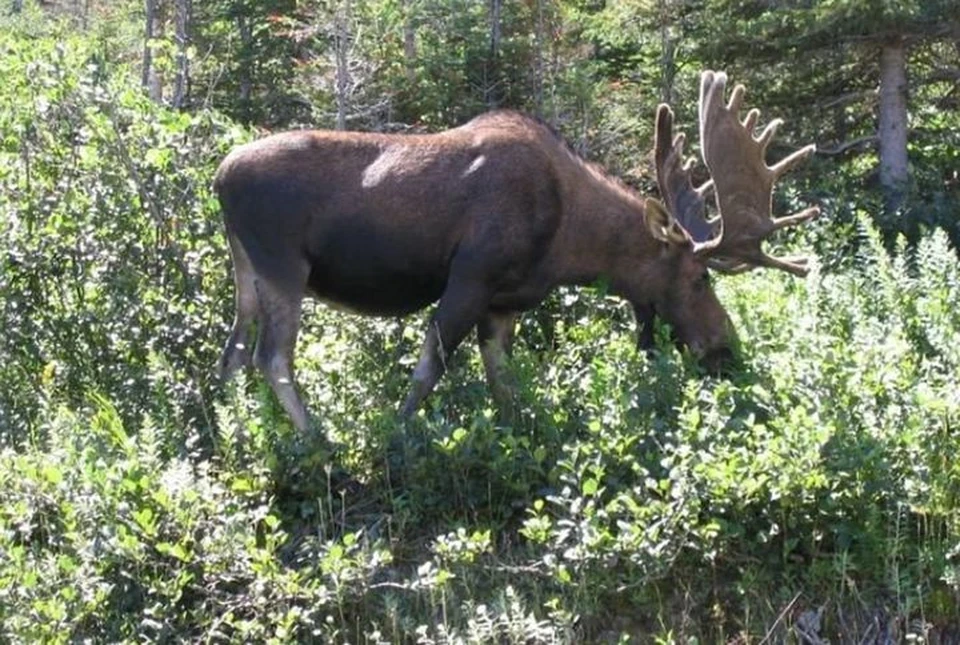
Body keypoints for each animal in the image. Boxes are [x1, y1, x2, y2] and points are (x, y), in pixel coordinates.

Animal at [216, 71, 816, 432]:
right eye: (699, 278)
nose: (726, 348)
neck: (571, 244)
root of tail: (219, 176)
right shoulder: (470, 278)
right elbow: (428, 370)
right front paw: (399, 435)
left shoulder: (503, 303)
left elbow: (503, 384)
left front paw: (517, 434)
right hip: (283, 265)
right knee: (273, 356)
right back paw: (318, 440)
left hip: (245, 269)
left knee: (234, 352)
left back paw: (230, 429)